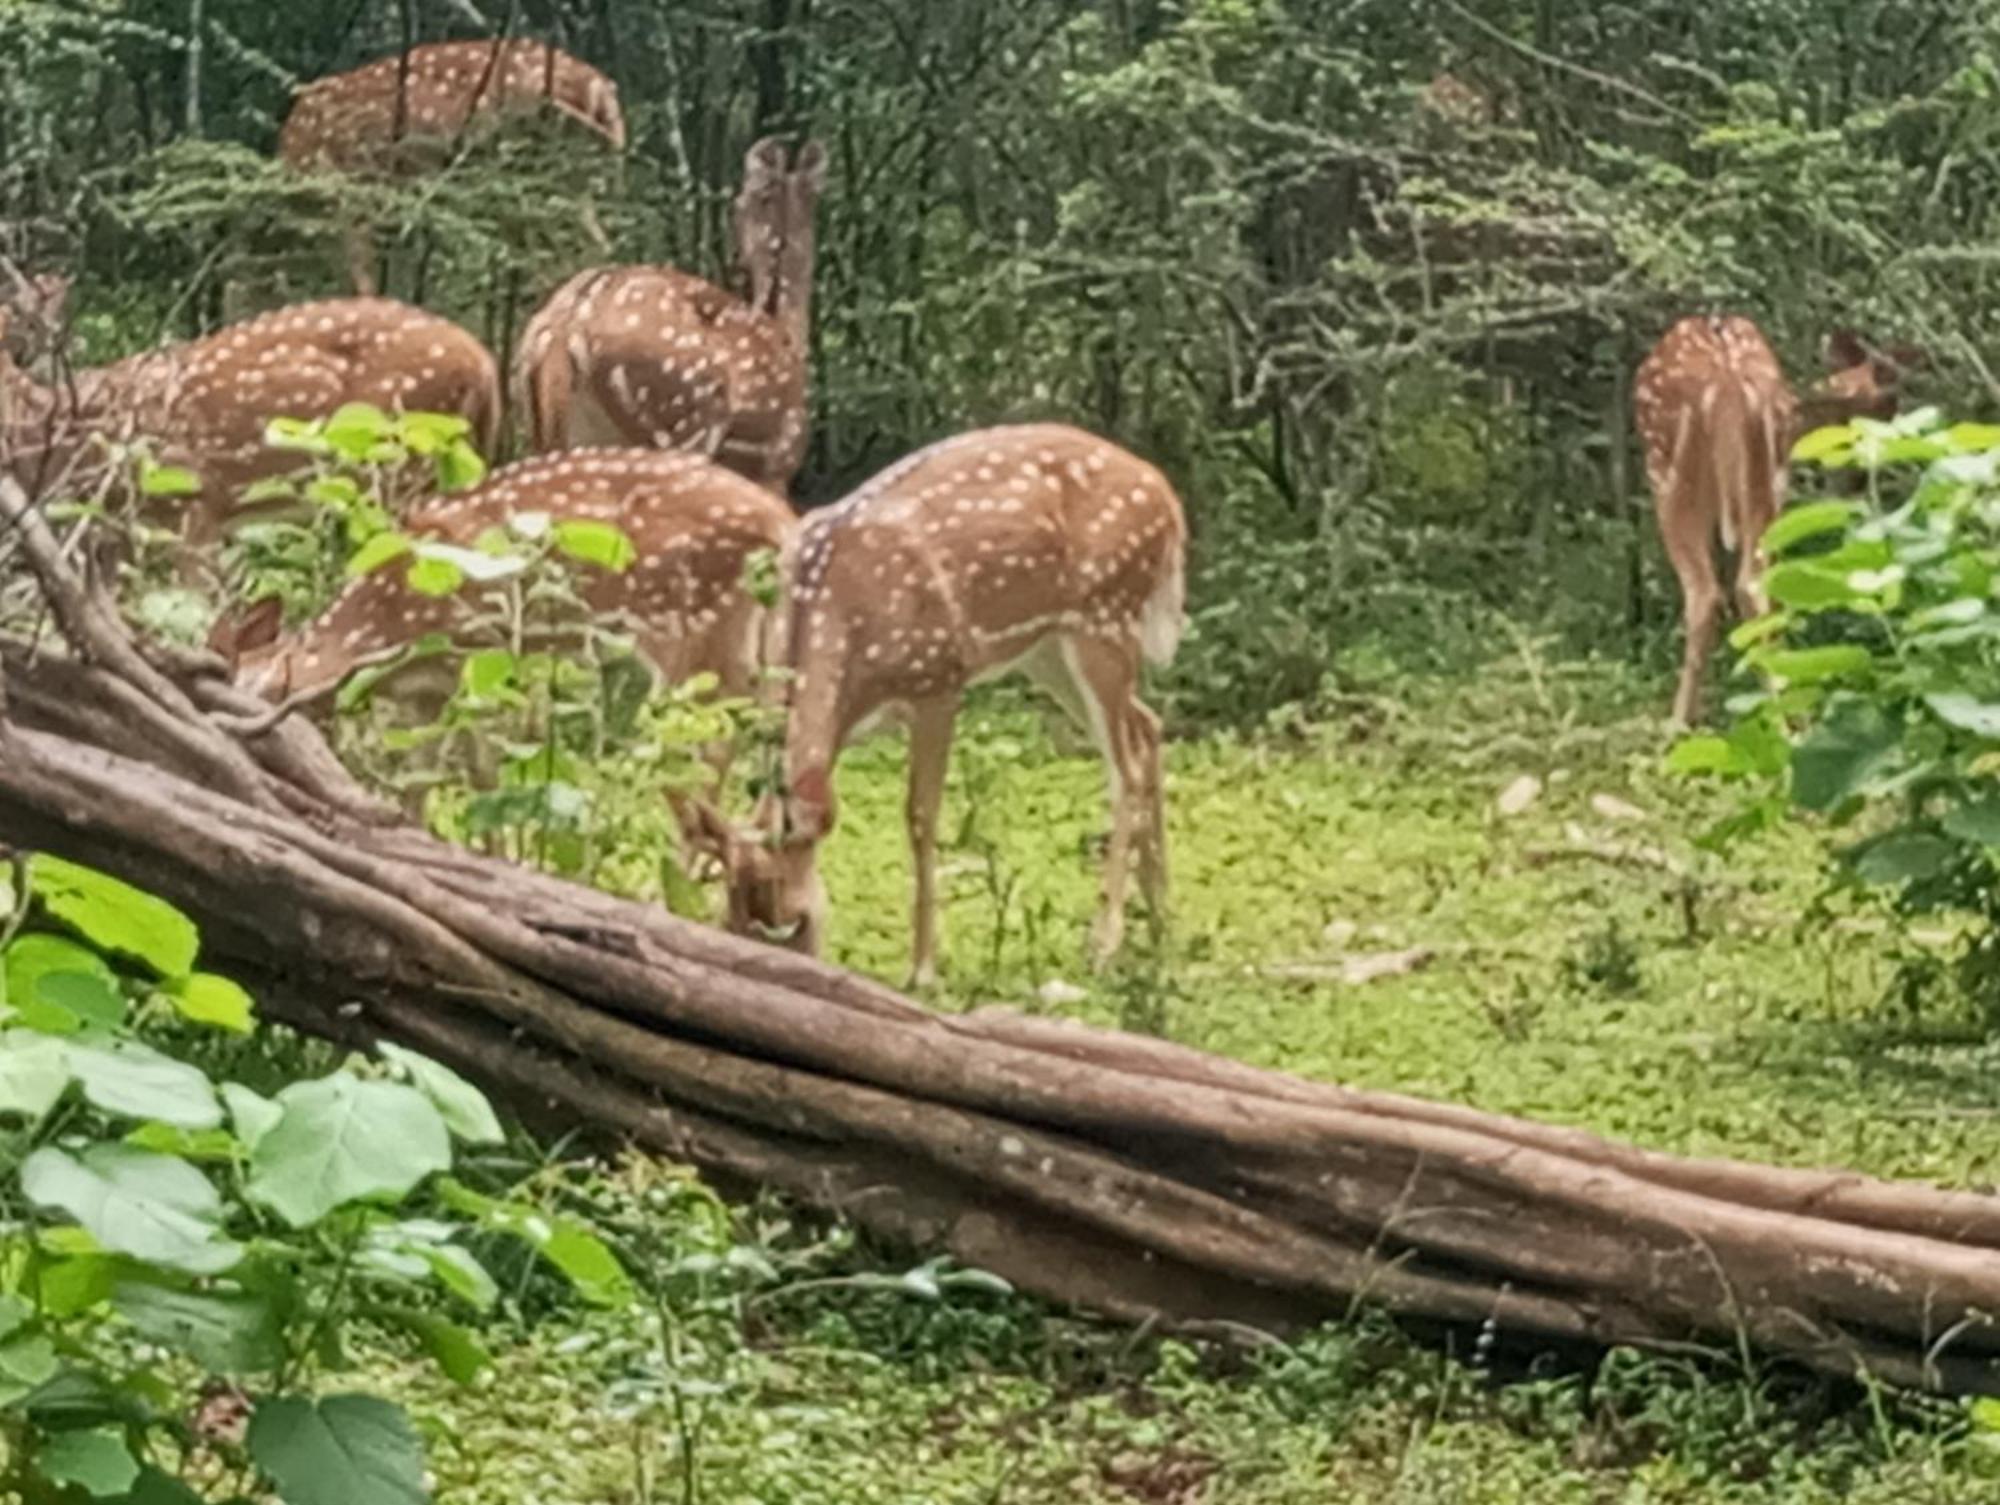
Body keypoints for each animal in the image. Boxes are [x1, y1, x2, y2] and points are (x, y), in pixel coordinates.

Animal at [270, 37, 620, 294]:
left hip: (527, 167)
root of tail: (600, 89)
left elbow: (363, 275)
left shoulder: (353, 190)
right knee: (592, 243)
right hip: (569, 179)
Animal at [520, 137, 832, 496]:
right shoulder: (777, 462)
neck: (788, 329)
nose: (734, 259)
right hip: (682, 422)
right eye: (738, 203)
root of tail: (567, 325)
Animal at [688, 424, 1184, 988]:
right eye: (728, 921)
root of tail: (1166, 496)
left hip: (1106, 616)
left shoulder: (939, 680)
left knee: (1126, 768)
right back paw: (1161, 923)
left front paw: (923, 967)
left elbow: (921, 817)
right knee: (1148, 726)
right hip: (1048, 649)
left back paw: (1106, 942)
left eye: (792, 923)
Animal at [1640, 318, 1920, 724]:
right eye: (1888, 409)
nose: (1856, 481)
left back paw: (1683, 722)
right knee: (1753, 584)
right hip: (1764, 482)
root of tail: (1726, 381)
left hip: (1670, 478)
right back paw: (1783, 711)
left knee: (1708, 591)